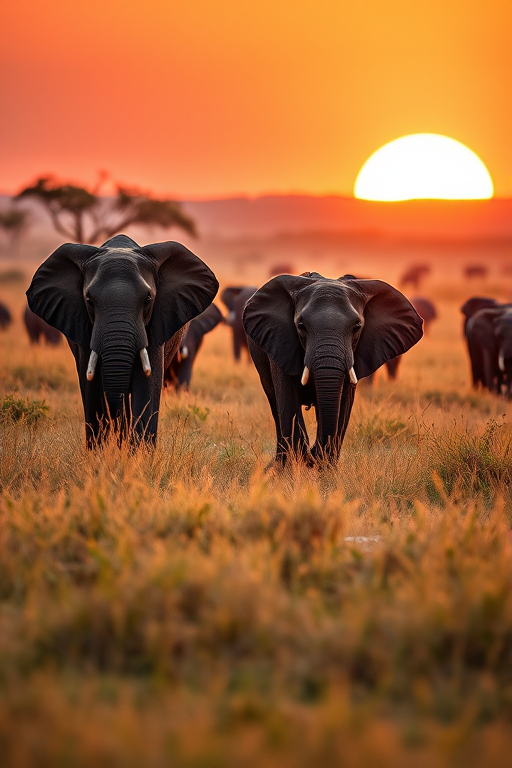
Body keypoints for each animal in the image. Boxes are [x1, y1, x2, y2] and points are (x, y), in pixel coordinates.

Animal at [26, 235, 218, 447]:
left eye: (148, 299)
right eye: (89, 300)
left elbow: (147, 386)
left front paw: (139, 454)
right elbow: (91, 390)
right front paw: (99, 454)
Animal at [243, 273, 423, 466]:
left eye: (357, 327)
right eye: (301, 326)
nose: (312, 454)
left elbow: (343, 405)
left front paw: (325, 467)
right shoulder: (281, 344)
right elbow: (288, 401)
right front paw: (295, 465)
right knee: (275, 403)